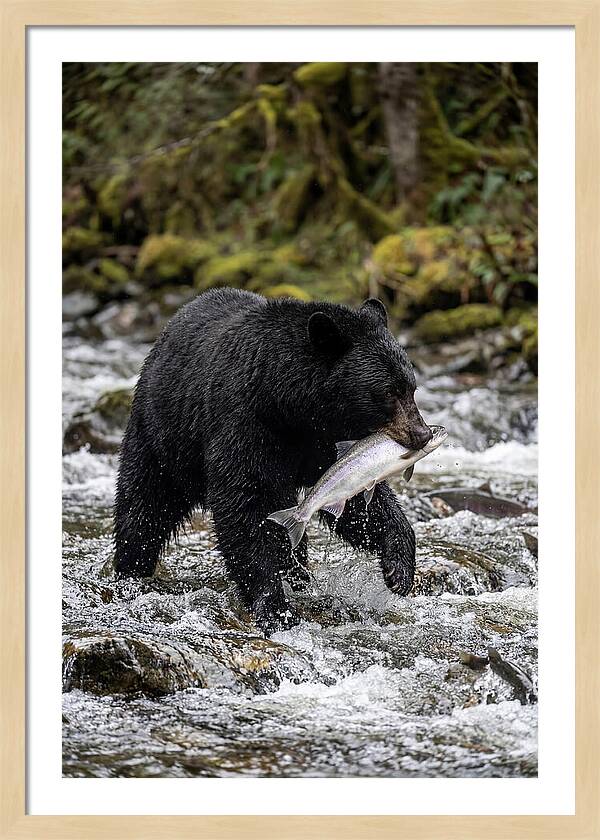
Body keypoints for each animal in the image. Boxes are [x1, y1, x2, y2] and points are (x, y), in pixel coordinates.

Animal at [114, 288, 432, 632]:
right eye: (388, 392)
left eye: (411, 388)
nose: (422, 433)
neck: (289, 405)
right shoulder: (246, 423)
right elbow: (245, 505)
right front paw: (274, 606)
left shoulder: (325, 442)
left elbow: (355, 498)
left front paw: (399, 569)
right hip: (163, 435)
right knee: (143, 505)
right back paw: (130, 570)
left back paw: (299, 575)